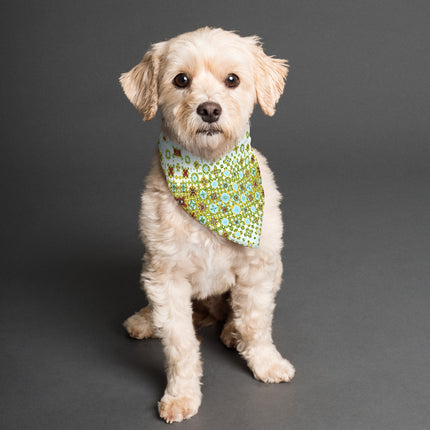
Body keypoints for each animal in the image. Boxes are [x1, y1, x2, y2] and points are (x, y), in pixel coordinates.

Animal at [121, 27, 296, 424]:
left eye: (232, 80)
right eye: (180, 80)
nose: (210, 109)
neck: (209, 172)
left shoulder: (259, 268)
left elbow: (255, 322)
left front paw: (265, 362)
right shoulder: (165, 276)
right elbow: (180, 344)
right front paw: (181, 394)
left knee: (235, 314)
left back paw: (231, 331)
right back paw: (145, 320)